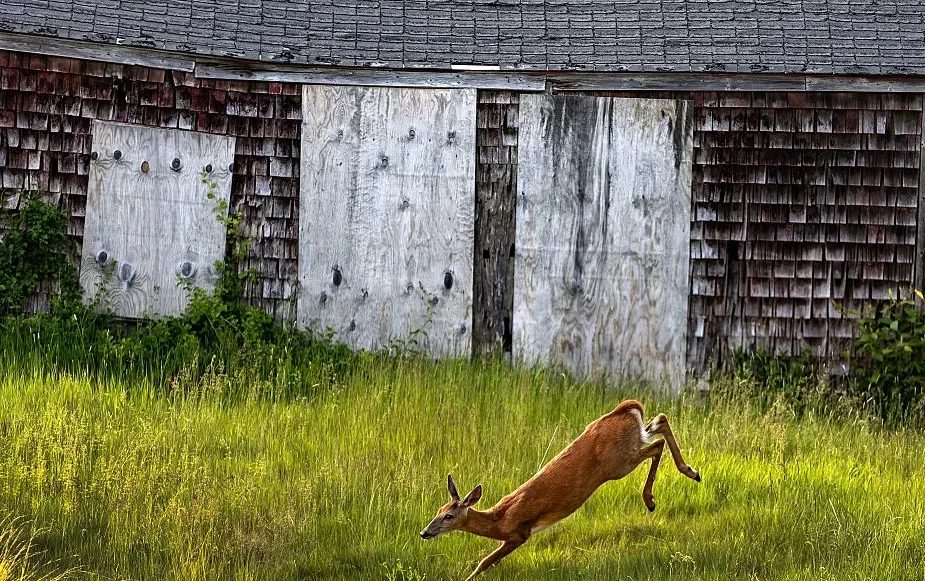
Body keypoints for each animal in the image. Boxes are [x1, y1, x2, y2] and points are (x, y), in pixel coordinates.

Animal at [419, 399, 701, 580]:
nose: (424, 533)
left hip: (618, 463)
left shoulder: (519, 533)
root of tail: (624, 408)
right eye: (437, 510)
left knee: (657, 445)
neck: (500, 519)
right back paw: (691, 472)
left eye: (449, 516)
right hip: (631, 444)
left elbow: (484, 562)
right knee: (660, 422)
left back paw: (653, 497)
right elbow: (487, 562)